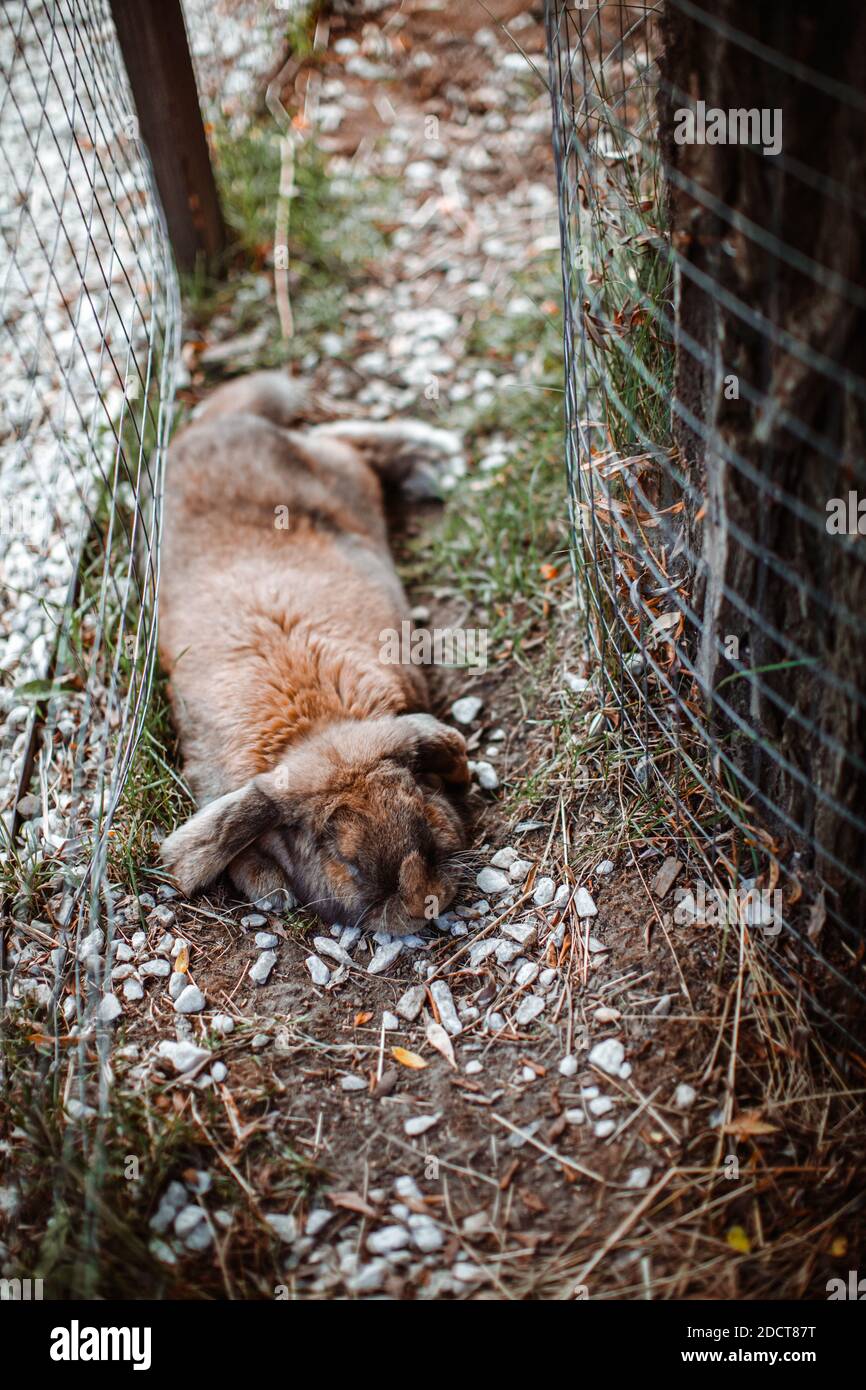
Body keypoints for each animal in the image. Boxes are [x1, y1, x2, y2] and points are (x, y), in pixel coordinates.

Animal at [159, 369, 478, 934]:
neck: (319, 730)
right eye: (346, 860)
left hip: (340, 470)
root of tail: (217, 427)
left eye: (422, 810)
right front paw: (272, 890)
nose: (424, 904)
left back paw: (430, 459)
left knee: (346, 441)